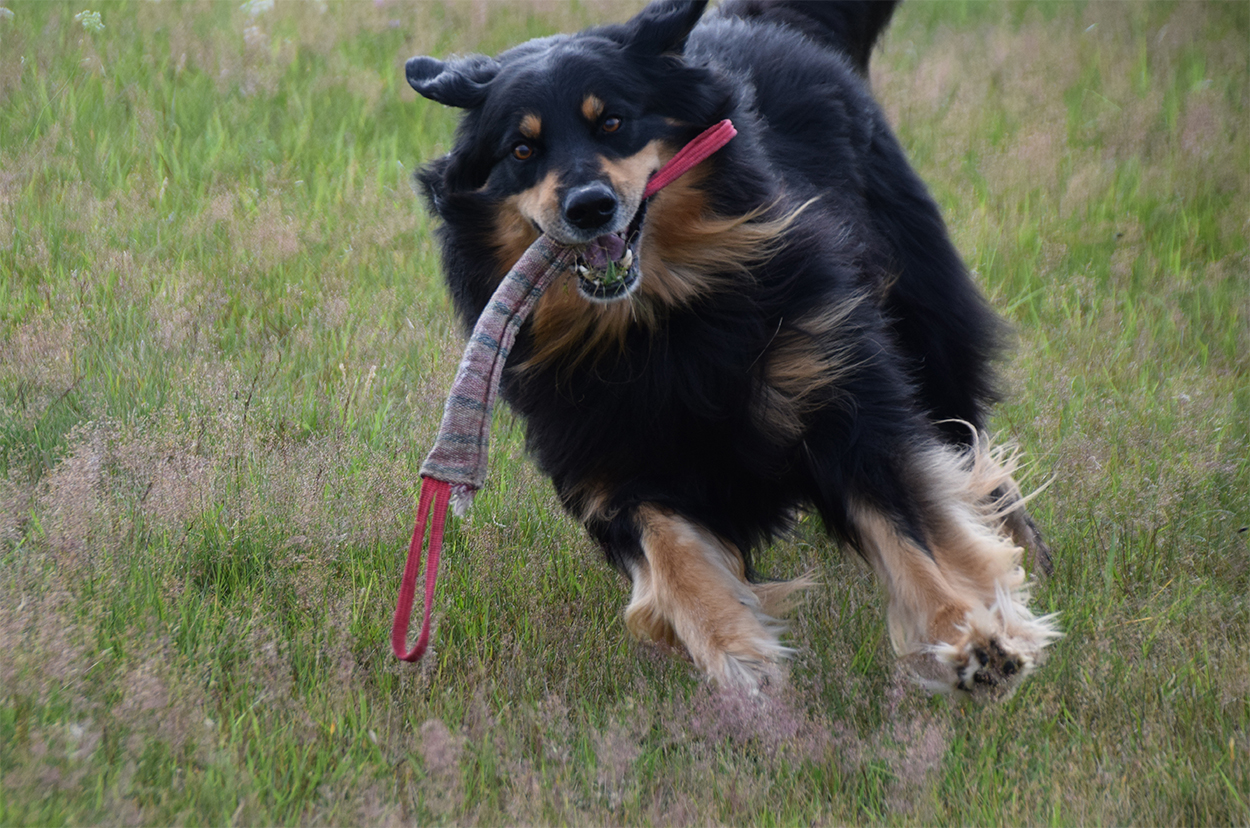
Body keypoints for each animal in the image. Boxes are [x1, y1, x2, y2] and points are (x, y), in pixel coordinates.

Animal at [404, 0, 1059, 696]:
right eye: (522, 149)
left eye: (612, 121)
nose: (589, 207)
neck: (659, 322)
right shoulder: (612, 463)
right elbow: (675, 563)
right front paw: (738, 655)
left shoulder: (843, 394)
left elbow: (911, 531)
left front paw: (971, 636)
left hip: (926, 325)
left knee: (967, 446)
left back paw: (1031, 553)